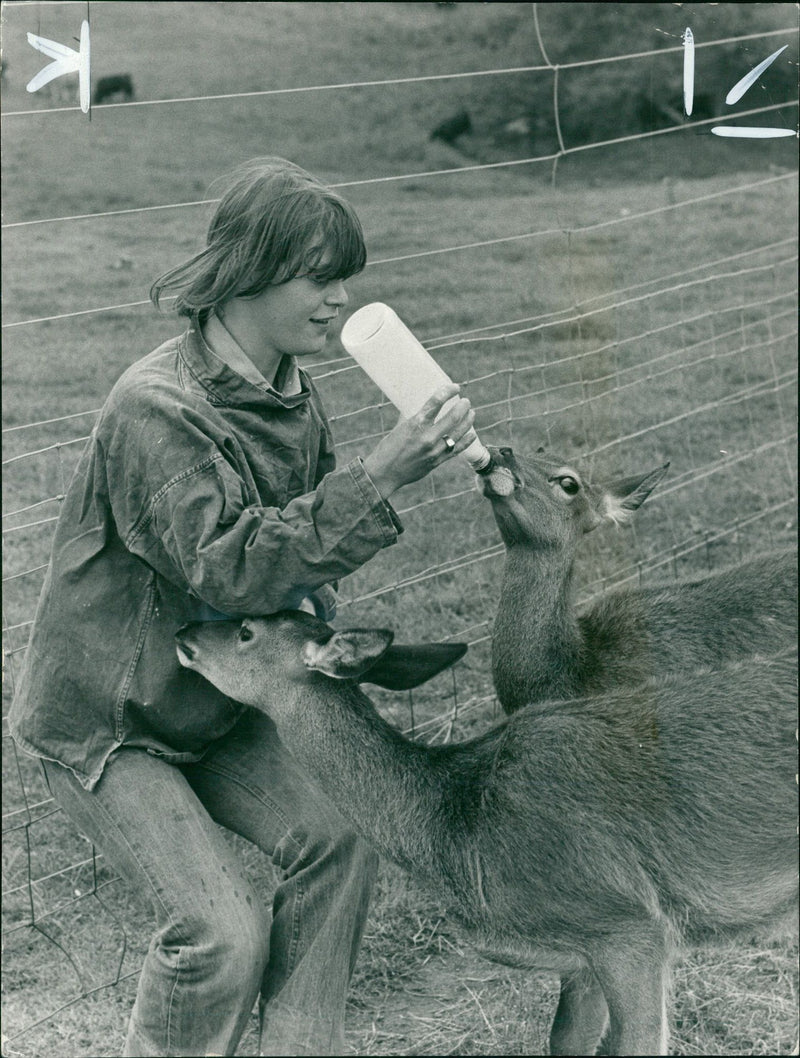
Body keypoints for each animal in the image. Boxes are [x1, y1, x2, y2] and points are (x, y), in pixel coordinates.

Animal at [176, 617, 800, 1053]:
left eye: (245, 630)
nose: (182, 634)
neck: (454, 828)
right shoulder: (582, 958)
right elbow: (564, 1042)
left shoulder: (628, 925)